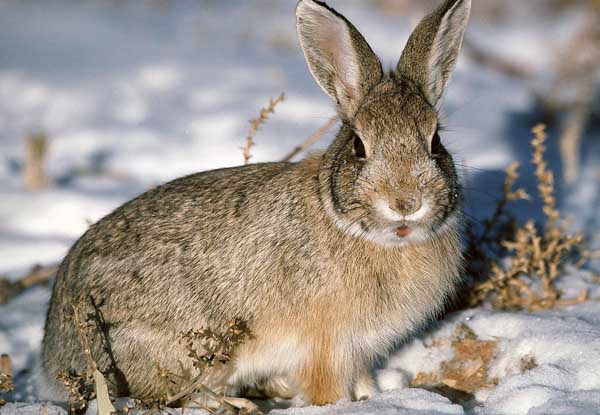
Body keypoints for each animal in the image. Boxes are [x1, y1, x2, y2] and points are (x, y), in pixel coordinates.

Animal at [41, 0, 474, 408]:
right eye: (358, 147)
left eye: (435, 143)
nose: (405, 202)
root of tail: (54, 352)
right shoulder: (326, 347)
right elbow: (328, 389)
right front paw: (339, 406)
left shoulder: (360, 350)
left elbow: (363, 379)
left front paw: (375, 397)